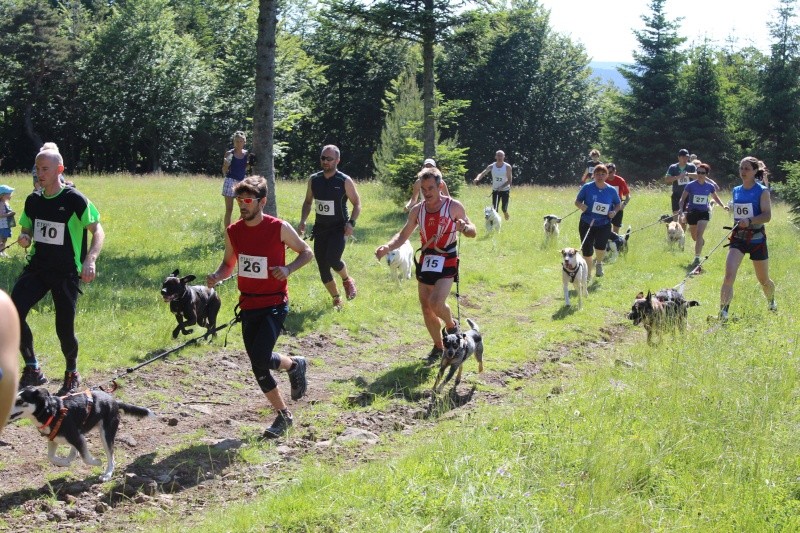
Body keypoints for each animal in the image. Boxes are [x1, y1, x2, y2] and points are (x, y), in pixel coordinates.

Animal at [9, 386, 152, 482]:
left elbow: (86, 458)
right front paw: (65, 463)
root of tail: (114, 401)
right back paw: (70, 457)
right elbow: (50, 457)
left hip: (106, 435)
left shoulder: (76, 437)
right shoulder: (53, 439)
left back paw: (107, 474)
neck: (52, 412)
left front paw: (97, 462)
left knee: (111, 457)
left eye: (20, 401)